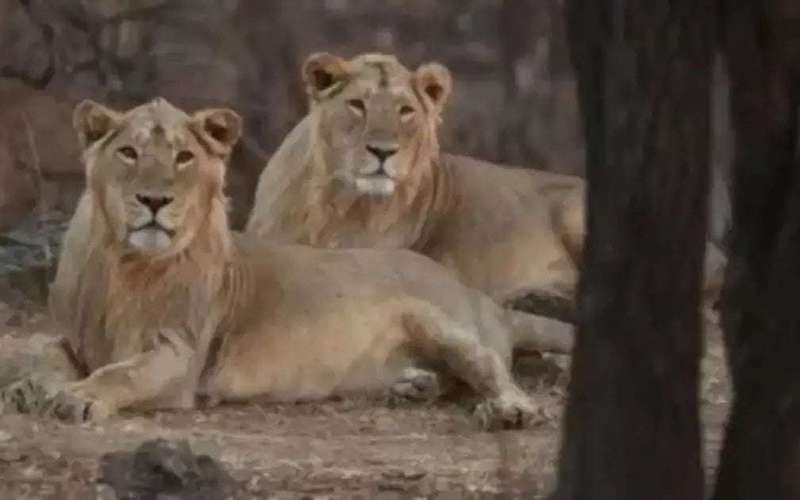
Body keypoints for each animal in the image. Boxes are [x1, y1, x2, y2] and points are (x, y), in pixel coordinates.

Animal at [0, 98, 575, 430]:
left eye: (184, 157)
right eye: (128, 152)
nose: (155, 201)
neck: (128, 264)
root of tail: (479, 297)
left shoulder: (181, 356)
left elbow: (123, 373)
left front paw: (77, 398)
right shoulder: (73, 338)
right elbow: (46, 355)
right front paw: (32, 387)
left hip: (440, 319)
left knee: (491, 367)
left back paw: (510, 411)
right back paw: (413, 386)